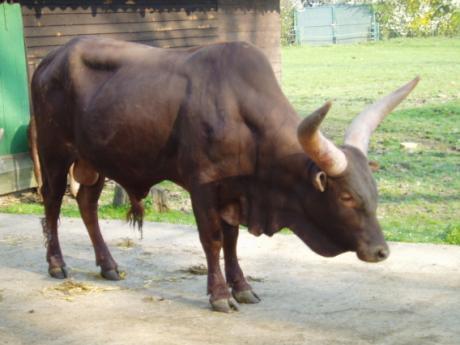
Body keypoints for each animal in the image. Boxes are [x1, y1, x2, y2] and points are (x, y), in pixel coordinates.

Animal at [32, 37, 418, 312]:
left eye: (374, 191)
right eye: (346, 196)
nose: (381, 251)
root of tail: (50, 59)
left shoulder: (235, 193)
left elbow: (232, 241)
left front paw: (243, 287)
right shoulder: (202, 186)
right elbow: (213, 239)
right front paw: (219, 294)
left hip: (93, 161)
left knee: (86, 204)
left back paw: (108, 265)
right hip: (54, 154)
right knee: (52, 203)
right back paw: (56, 264)